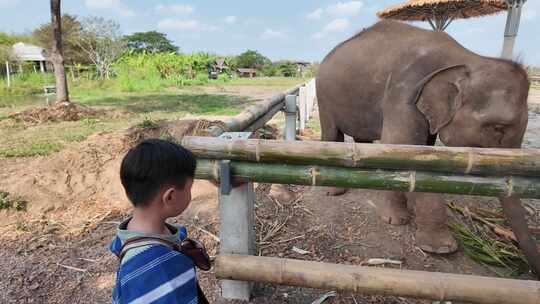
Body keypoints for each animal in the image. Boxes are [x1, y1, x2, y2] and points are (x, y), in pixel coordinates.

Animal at [314, 20, 536, 274]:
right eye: (498, 127)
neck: (467, 58)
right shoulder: (405, 91)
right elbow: (400, 144)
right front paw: (438, 247)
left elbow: (424, 152)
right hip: (324, 96)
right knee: (332, 133)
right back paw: (333, 191)